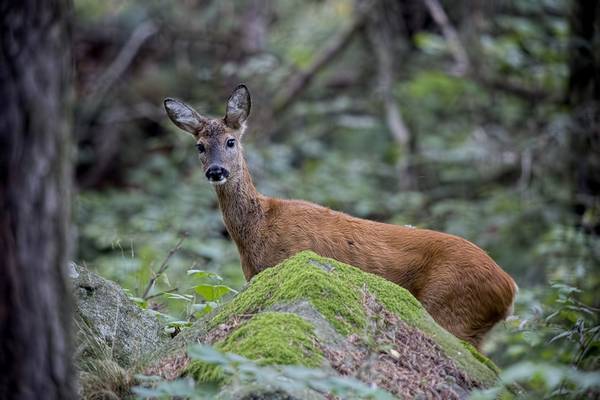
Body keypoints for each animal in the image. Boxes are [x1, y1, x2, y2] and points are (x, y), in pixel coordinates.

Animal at [163, 83, 516, 346]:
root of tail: (509, 288)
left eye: (231, 141)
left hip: (452, 311)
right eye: (199, 146)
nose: (216, 171)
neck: (258, 227)